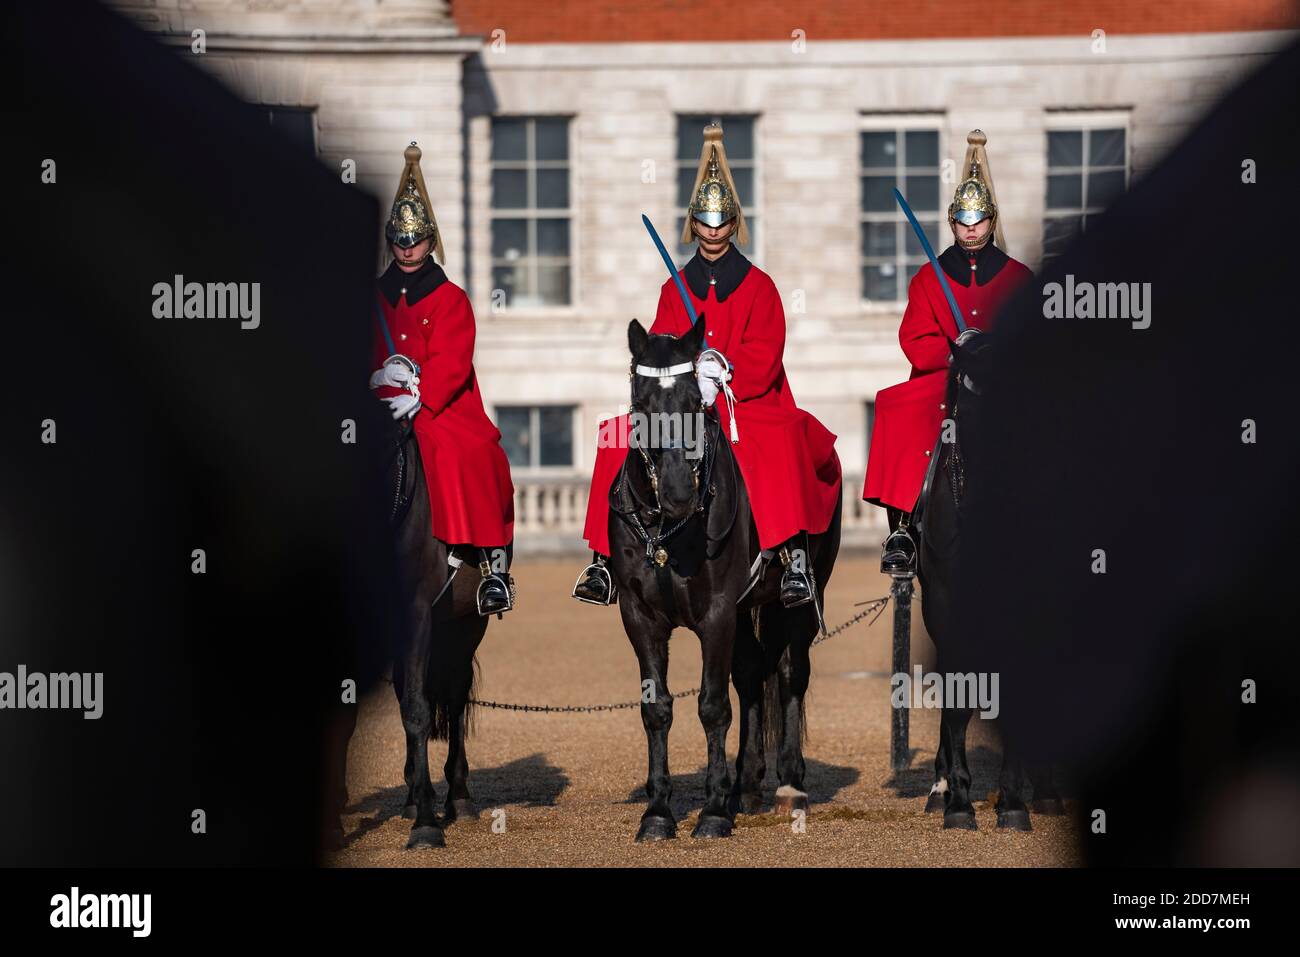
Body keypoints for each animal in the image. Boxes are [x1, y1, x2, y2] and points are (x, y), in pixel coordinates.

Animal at [379, 421, 501, 847]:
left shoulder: (418, 614)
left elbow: (418, 710)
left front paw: (427, 825)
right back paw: (416, 795)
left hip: (467, 626)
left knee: (455, 695)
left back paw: (457, 797)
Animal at [608, 317, 842, 842]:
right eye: (642, 404)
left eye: (697, 402)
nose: (679, 494)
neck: (668, 533)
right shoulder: (640, 618)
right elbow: (657, 709)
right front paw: (658, 812)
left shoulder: (716, 614)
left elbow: (713, 705)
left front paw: (713, 812)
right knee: (752, 676)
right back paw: (747, 786)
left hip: (795, 600)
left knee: (790, 674)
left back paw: (789, 785)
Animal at [920, 330, 1060, 832]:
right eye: (966, 415)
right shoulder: (946, 606)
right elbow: (958, 697)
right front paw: (959, 801)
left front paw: (1013, 801)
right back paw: (941, 789)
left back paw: (1046, 791)